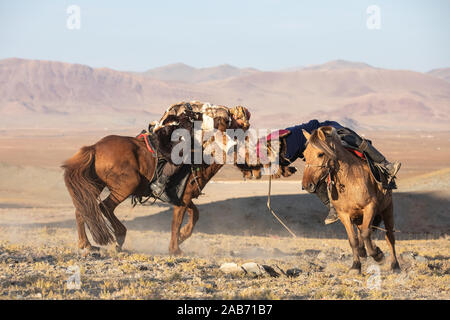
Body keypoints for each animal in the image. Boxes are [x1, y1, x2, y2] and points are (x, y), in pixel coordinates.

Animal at [300, 126, 400, 274]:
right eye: (305, 155)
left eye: (320, 154)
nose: (307, 185)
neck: (349, 179)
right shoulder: (344, 215)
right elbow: (353, 240)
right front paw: (355, 266)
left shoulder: (370, 207)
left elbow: (366, 233)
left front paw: (378, 255)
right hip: (359, 217)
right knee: (361, 234)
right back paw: (364, 252)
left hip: (388, 209)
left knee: (389, 237)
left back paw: (395, 265)